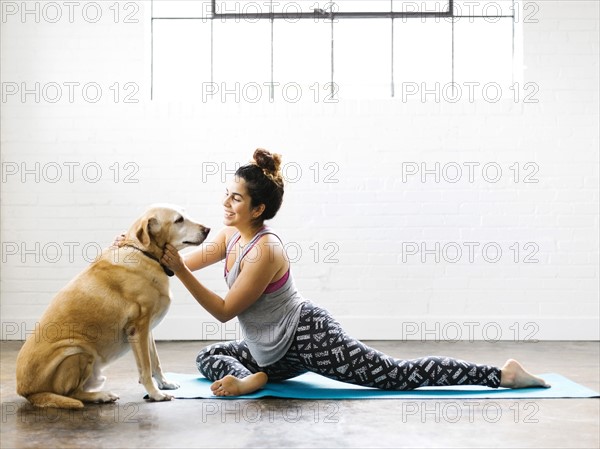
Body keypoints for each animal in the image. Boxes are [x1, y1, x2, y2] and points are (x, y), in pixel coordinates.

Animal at [15, 205, 211, 408]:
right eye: (179, 220)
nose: (208, 229)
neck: (144, 253)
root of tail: (26, 391)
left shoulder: (147, 329)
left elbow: (155, 361)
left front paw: (164, 384)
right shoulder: (138, 329)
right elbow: (146, 367)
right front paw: (155, 394)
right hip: (78, 352)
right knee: (73, 394)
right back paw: (101, 396)